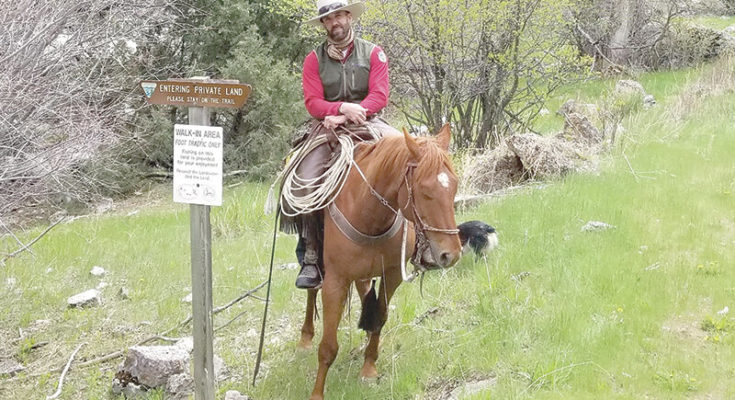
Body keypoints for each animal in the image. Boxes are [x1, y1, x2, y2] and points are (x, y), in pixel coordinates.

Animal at [297, 124, 462, 400]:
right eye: (424, 191)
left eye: (454, 187)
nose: (451, 255)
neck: (368, 212)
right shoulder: (335, 281)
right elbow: (328, 345)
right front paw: (317, 393)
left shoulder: (392, 274)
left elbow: (380, 318)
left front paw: (369, 368)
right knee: (312, 290)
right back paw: (305, 337)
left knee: (365, 291)